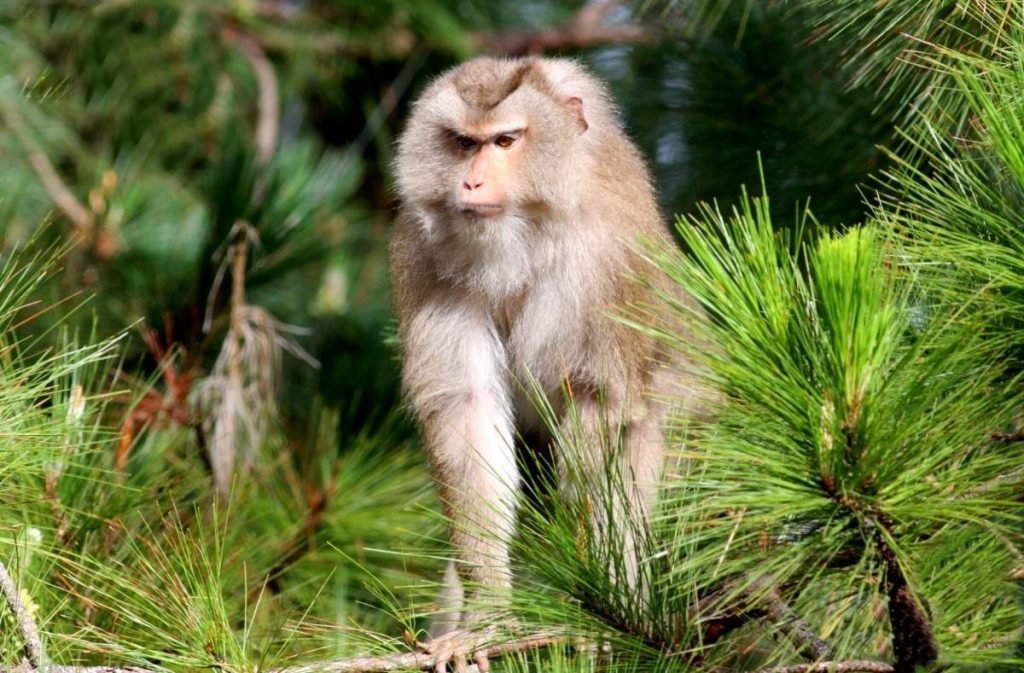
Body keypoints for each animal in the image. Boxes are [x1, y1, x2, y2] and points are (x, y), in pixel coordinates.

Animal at [387, 56, 708, 667]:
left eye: (506, 140)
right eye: (463, 142)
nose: (471, 182)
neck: (527, 236)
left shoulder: (606, 260)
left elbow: (600, 404)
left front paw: (589, 605)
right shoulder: (423, 257)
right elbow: (466, 413)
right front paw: (489, 616)